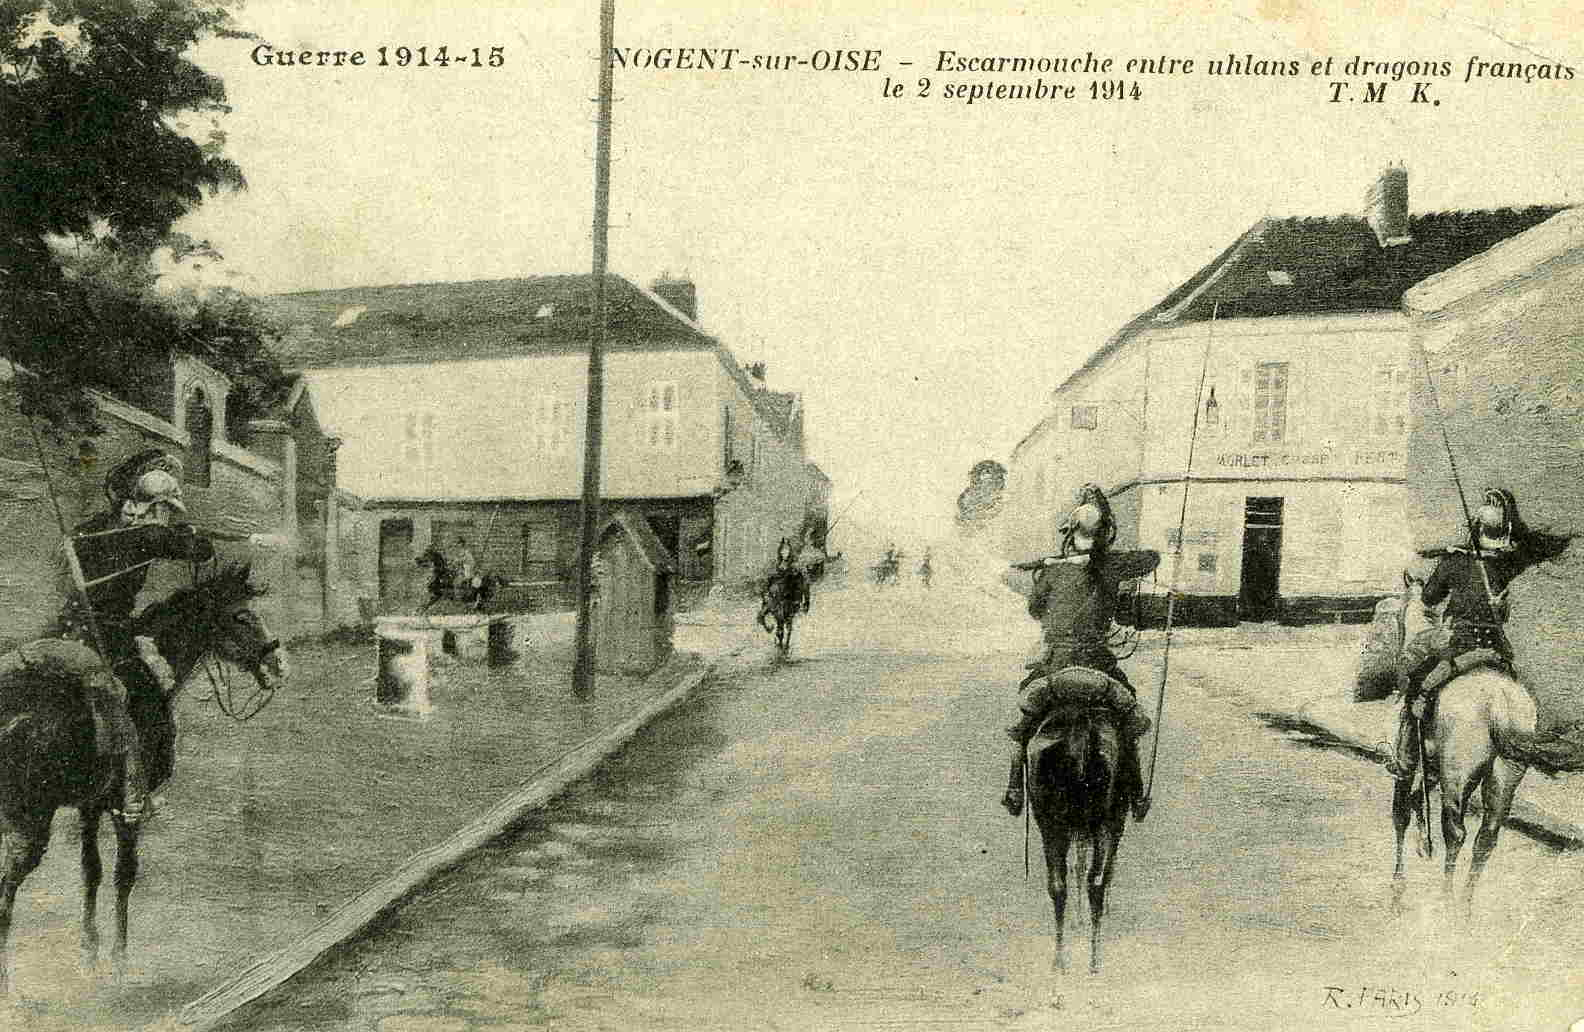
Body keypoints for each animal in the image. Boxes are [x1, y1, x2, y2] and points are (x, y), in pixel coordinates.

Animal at [0, 563, 289, 994]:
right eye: (241, 616)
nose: (279, 665)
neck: (150, 669)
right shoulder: (126, 808)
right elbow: (124, 875)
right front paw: (119, 960)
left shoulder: (91, 805)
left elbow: (91, 872)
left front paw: (90, 952)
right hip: (29, 824)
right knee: (6, 889)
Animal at [1020, 702, 1134, 975]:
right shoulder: (1114, 822)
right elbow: (1098, 868)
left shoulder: (1075, 829)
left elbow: (1077, 866)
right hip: (1104, 822)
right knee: (1097, 881)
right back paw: (1094, 960)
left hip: (1051, 824)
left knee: (1058, 884)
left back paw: (1060, 961)